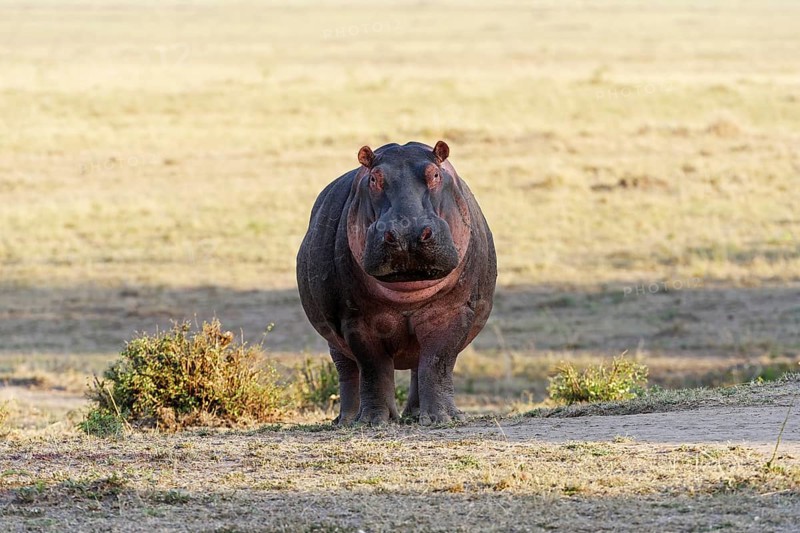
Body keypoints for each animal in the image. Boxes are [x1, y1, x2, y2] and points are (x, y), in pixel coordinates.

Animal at [296, 141, 496, 425]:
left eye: (436, 174)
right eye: (373, 178)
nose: (407, 232)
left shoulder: (452, 313)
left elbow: (437, 363)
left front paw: (443, 418)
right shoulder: (357, 321)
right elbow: (373, 368)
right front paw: (372, 421)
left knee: (418, 367)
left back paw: (416, 415)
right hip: (334, 339)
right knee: (347, 371)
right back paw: (347, 419)